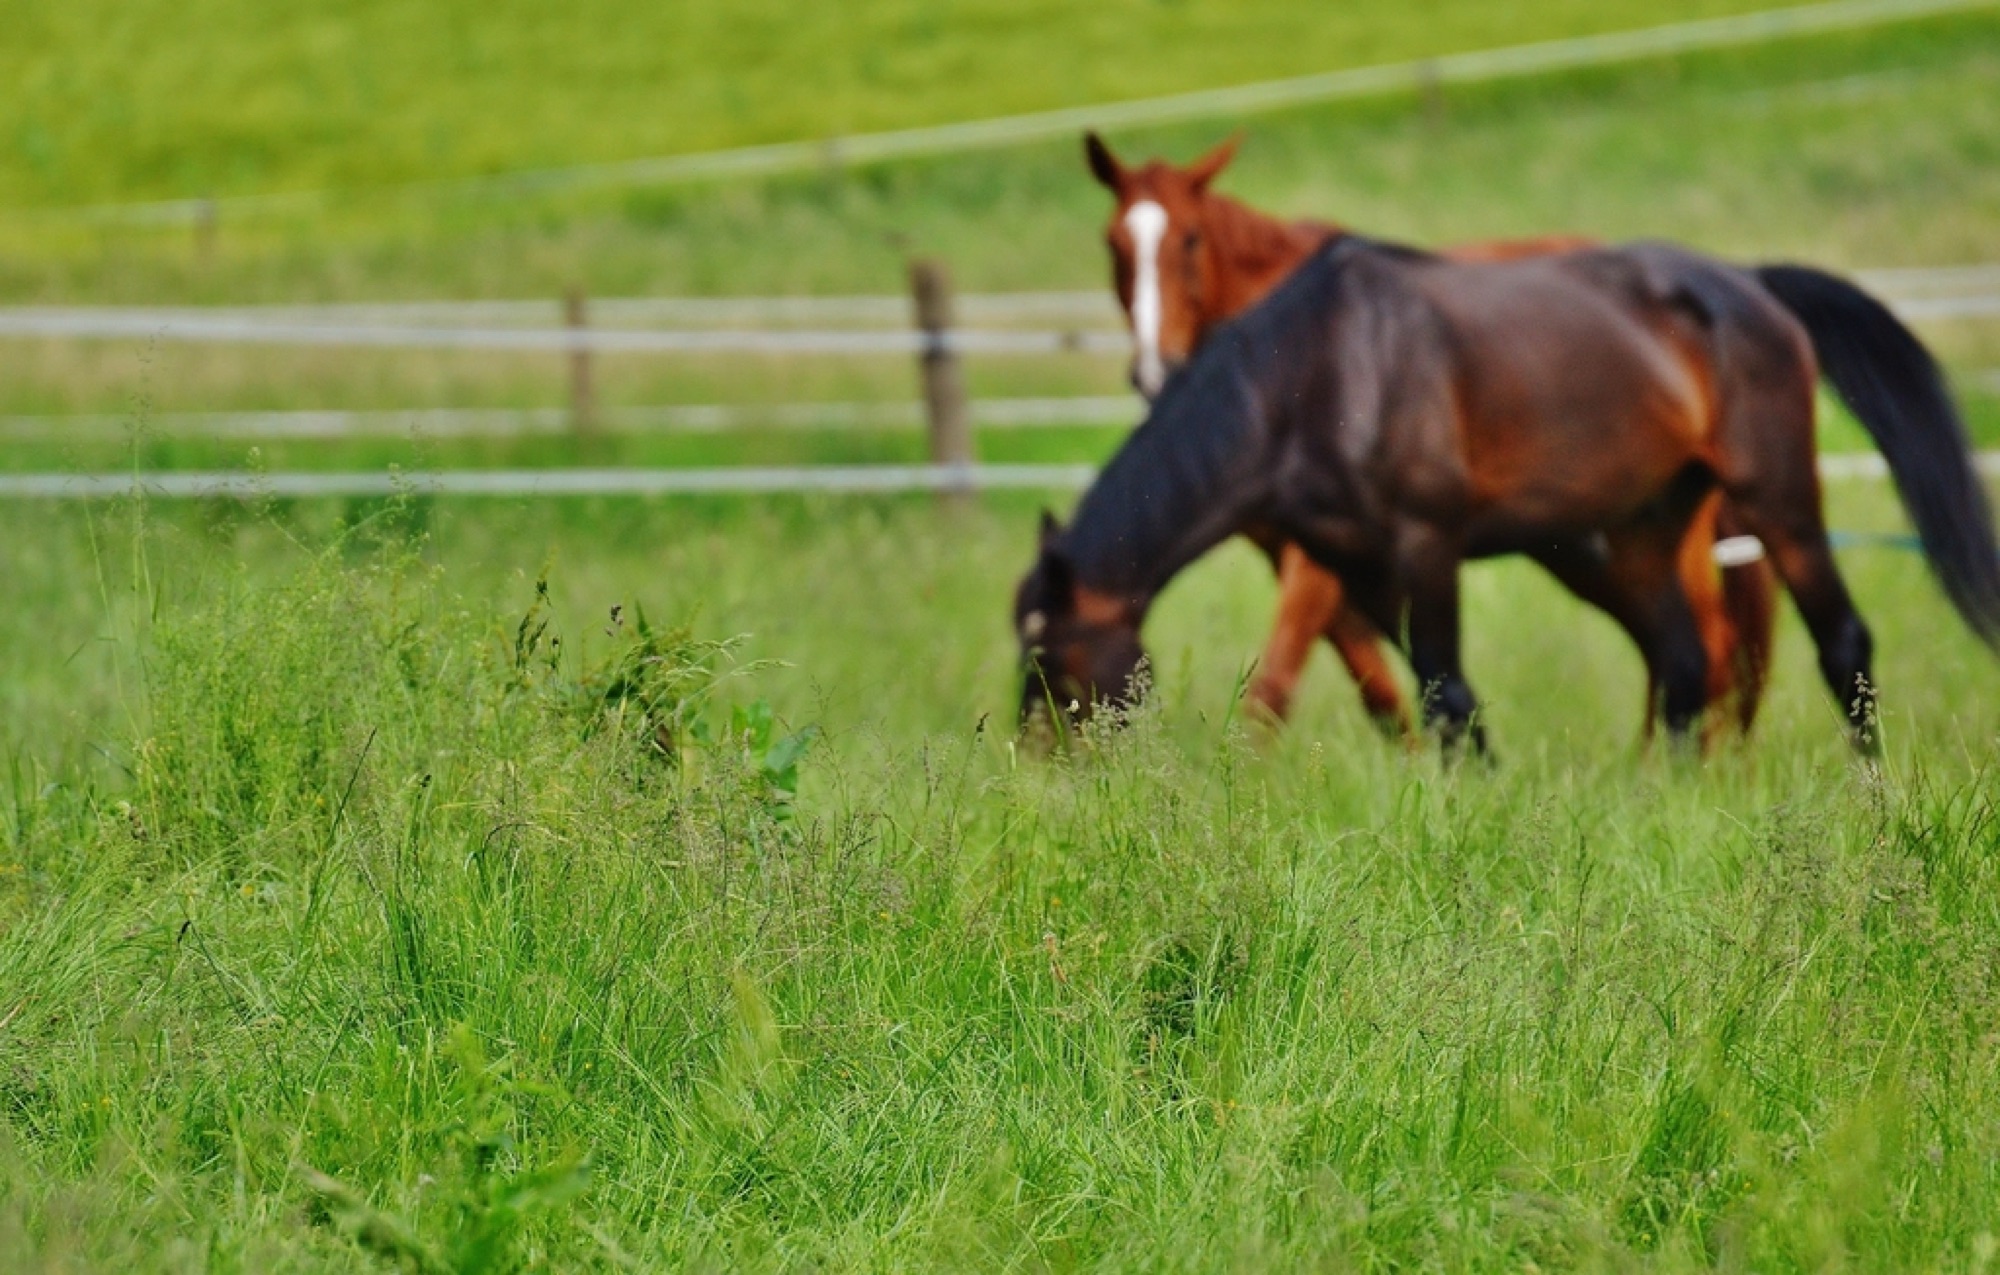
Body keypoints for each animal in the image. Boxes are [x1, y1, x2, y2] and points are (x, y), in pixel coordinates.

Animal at [1016, 235, 2000, 754]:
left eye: (1055, 659)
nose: (1040, 769)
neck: (1313, 376)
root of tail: (1752, 285)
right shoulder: (1359, 566)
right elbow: (1443, 701)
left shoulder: (1426, 544)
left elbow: (1448, 696)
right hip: (1640, 528)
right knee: (1686, 666)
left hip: (1778, 495)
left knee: (1842, 646)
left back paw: (1873, 799)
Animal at [1084, 132, 1776, 740]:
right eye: (1113, 243)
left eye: (1190, 239)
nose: (1154, 369)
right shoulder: (1306, 554)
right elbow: (1379, 691)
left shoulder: (1321, 562)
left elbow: (1277, 686)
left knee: (1713, 648)